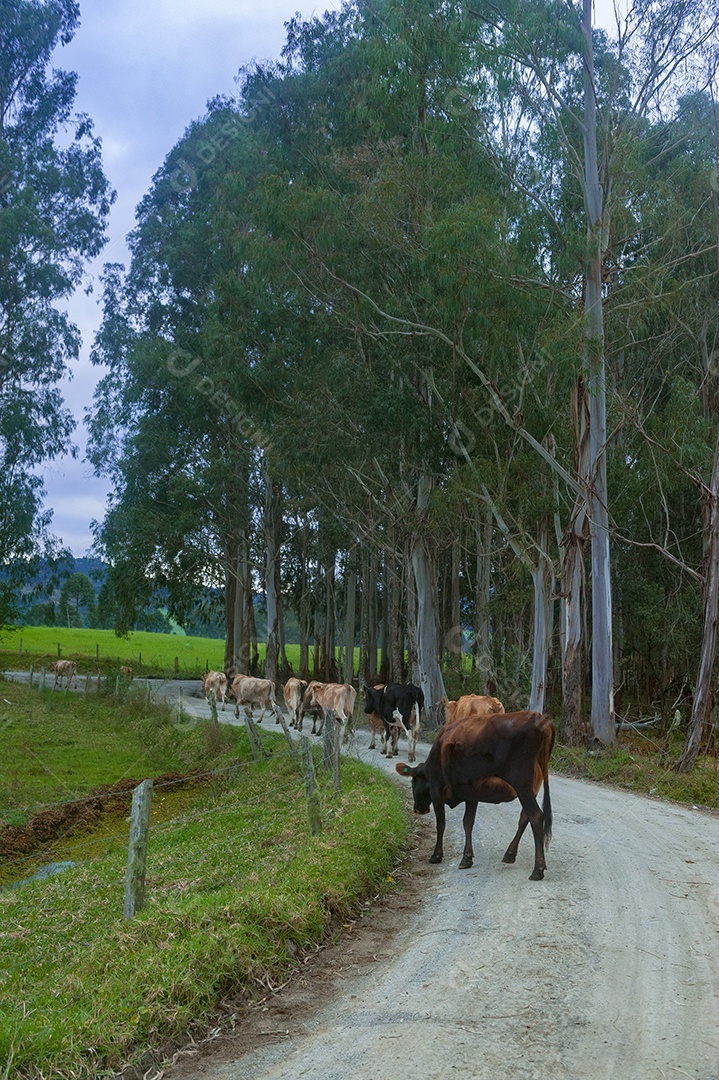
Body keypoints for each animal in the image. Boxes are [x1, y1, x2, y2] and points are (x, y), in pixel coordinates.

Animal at [395, 712, 550, 881]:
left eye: (412, 782)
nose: (418, 810)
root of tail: (536, 717)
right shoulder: (472, 794)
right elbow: (467, 823)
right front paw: (466, 858)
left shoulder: (437, 794)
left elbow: (441, 825)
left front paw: (436, 856)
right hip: (532, 787)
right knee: (524, 817)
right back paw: (510, 854)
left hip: (521, 784)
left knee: (536, 816)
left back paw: (538, 869)